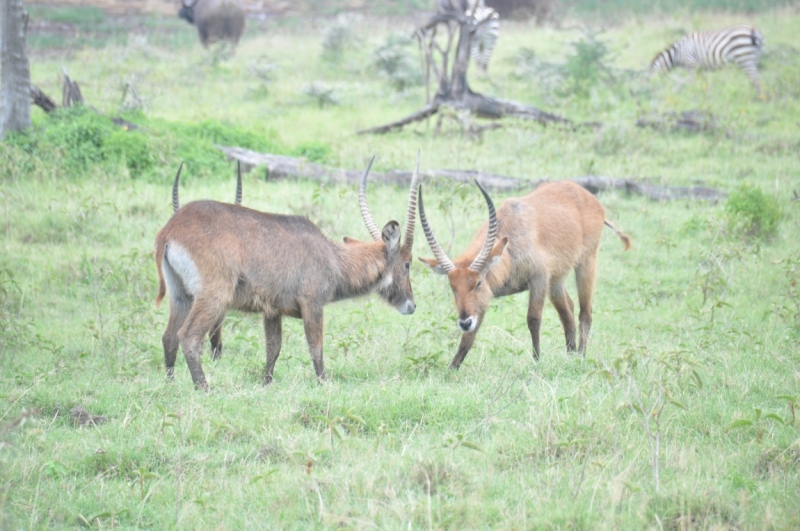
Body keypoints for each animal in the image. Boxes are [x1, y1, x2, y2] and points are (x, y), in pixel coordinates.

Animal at [153, 158, 422, 390]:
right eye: (408, 264)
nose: (412, 305)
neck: (333, 258)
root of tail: (170, 229)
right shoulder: (312, 304)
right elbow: (316, 346)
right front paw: (324, 384)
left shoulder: (272, 311)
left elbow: (274, 349)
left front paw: (266, 384)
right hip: (213, 296)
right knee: (188, 336)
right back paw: (204, 387)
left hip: (181, 297)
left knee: (168, 337)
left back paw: (170, 384)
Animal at [416, 181, 628, 368]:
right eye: (452, 287)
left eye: (477, 283)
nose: (464, 321)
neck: (509, 248)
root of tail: (588, 196)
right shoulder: (484, 299)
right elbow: (470, 334)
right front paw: (453, 367)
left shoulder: (539, 278)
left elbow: (533, 319)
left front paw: (537, 360)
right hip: (557, 281)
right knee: (568, 311)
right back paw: (570, 355)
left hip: (586, 263)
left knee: (585, 313)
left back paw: (581, 357)